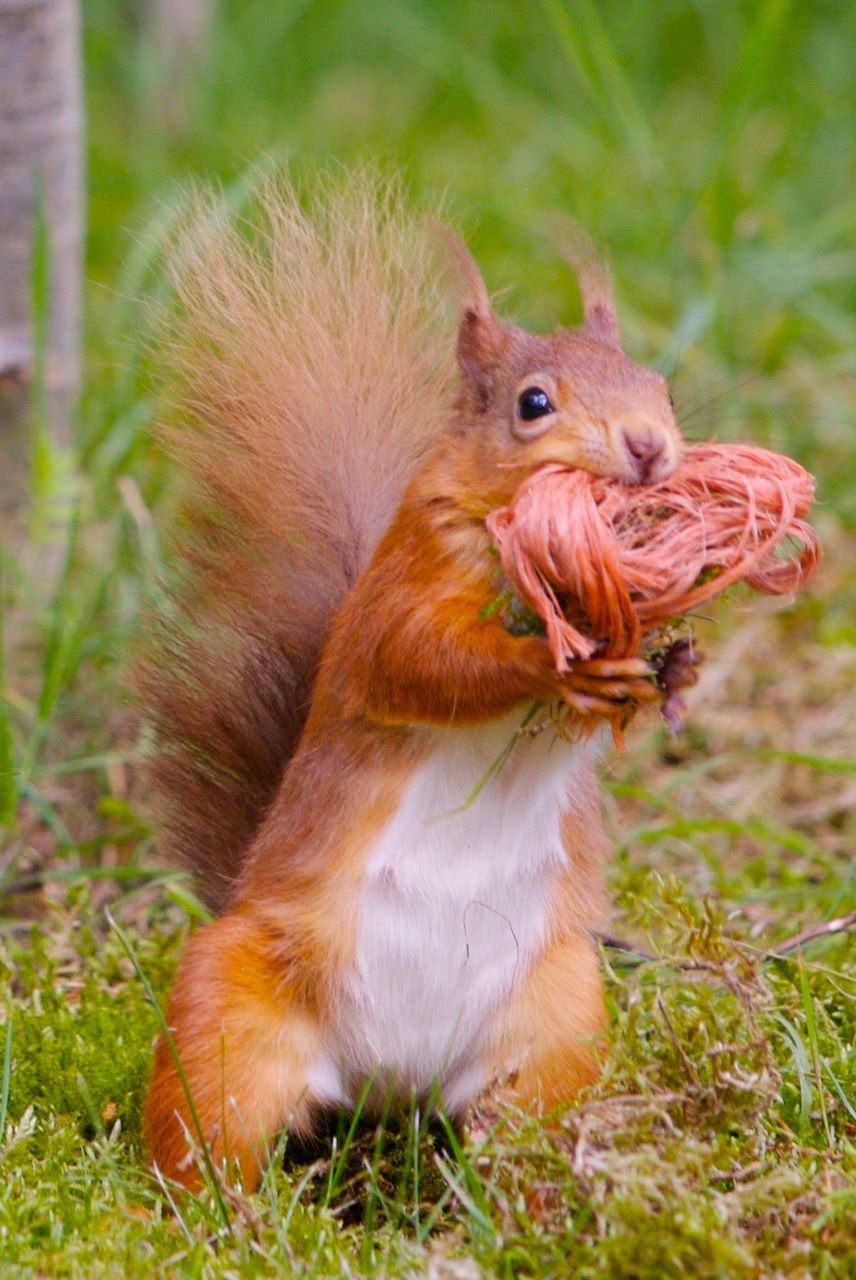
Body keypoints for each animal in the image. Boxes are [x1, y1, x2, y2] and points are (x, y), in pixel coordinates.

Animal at [139, 174, 684, 1193]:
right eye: (533, 403)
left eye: (662, 385)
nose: (647, 446)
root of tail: (388, 1084)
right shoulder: (392, 609)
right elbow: (428, 663)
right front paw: (551, 662)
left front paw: (663, 672)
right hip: (230, 1010)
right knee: (207, 1129)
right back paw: (216, 1210)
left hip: (556, 1017)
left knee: (519, 1125)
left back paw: (532, 1195)